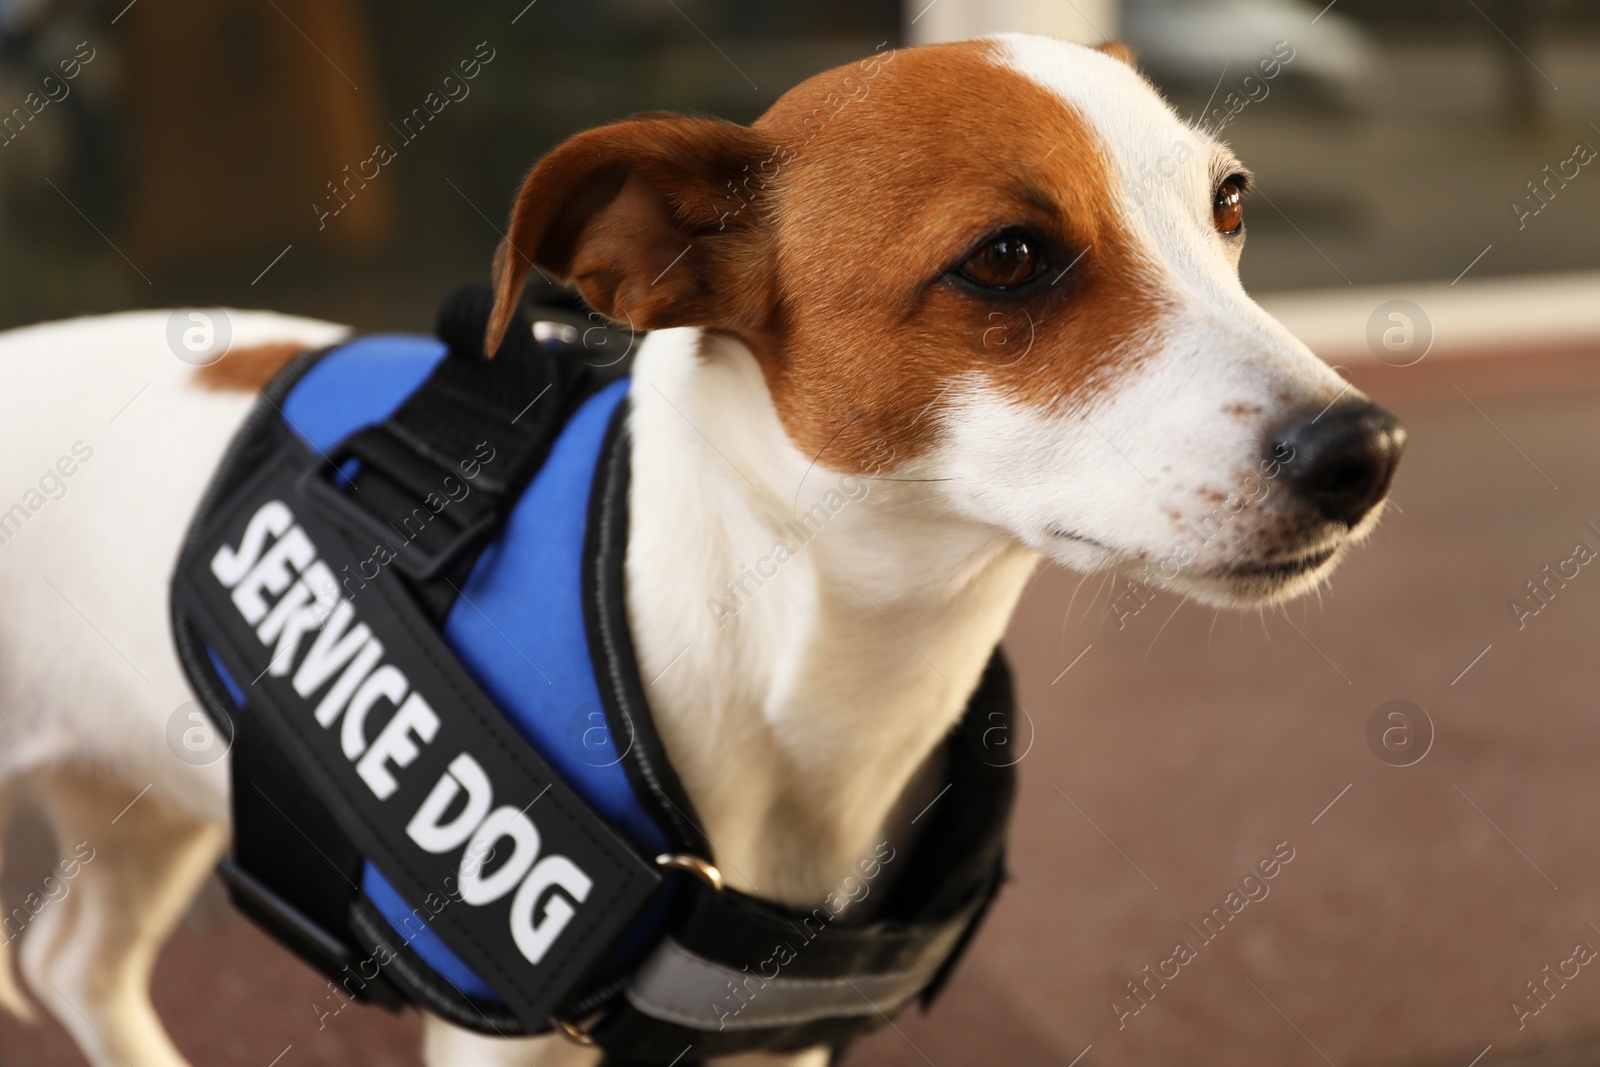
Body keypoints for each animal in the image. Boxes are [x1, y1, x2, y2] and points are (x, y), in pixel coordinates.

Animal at [0, 33, 1401, 1067]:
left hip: (141, 793)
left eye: (1227, 204)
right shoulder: (501, 1032)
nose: (1366, 449)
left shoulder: (774, 1035)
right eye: (1006, 257)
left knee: (74, 958)